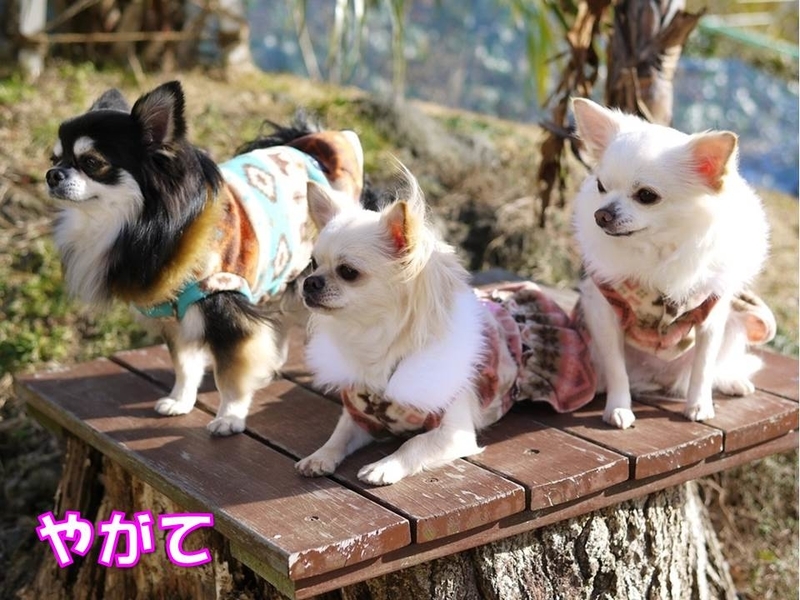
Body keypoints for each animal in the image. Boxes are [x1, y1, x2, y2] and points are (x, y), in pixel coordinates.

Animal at [46, 81, 364, 435]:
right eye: (54, 157)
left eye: (91, 162)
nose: (51, 174)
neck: (149, 226)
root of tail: (312, 141)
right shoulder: (173, 315)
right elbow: (185, 364)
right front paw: (181, 400)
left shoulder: (226, 308)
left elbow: (230, 376)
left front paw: (230, 417)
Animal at [294, 170, 595, 485]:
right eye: (313, 263)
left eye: (348, 272)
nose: (310, 282)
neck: (371, 335)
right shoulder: (360, 416)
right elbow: (339, 434)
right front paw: (320, 456)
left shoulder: (454, 433)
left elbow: (413, 443)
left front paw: (384, 465)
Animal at [570, 97, 776, 429]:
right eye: (601, 186)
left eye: (646, 196)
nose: (601, 214)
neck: (657, 249)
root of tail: (659, 377)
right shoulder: (604, 313)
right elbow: (617, 369)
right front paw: (619, 407)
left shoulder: (710, 317)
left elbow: (703, 367)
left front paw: (699, 405)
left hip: (735, 323)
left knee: (715, 366)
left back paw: (732, 381)